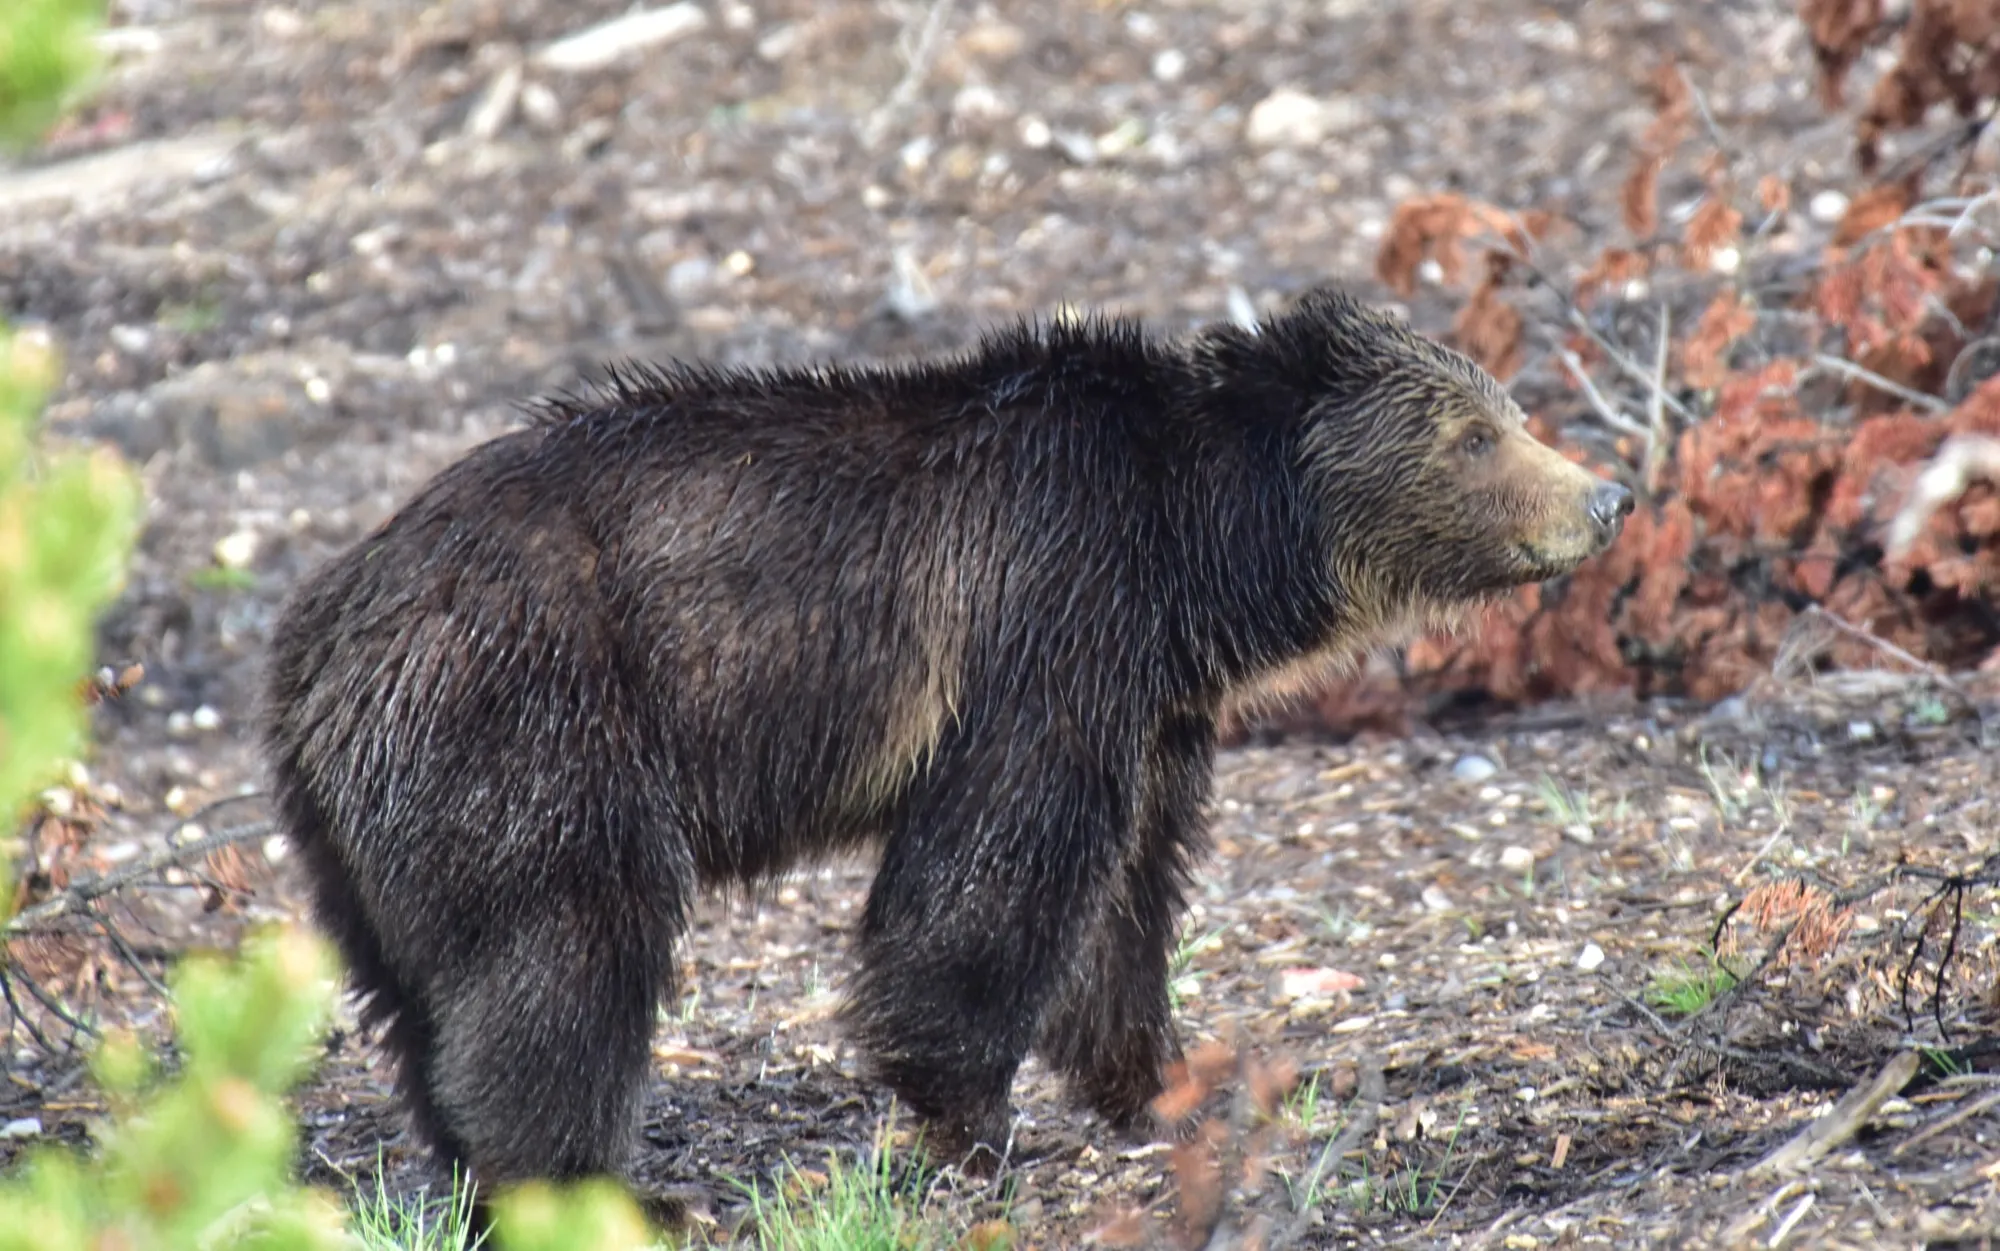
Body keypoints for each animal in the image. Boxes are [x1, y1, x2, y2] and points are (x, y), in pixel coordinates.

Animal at [259, 285, 1632, 1219]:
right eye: (1469, 432)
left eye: (1503, 408)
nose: (1606, 496)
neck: (1189, 553)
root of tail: (318, 627)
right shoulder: (1042, 622)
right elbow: (993, 874)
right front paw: (973, 1120)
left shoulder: (1149, 700)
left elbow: (1126, 897)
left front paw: (1164, 1080)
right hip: (535, 717)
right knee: (567, 948)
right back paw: (606, 1189)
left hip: (367, 831)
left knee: (422, 995)